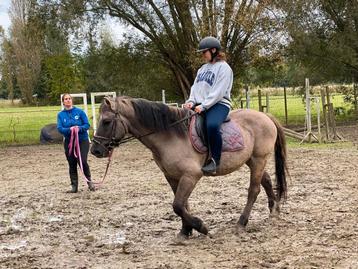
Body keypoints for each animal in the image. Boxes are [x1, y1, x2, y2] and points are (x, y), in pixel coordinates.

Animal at [90, 97, 288, 239]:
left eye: (106, 121)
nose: (95, 150)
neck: (169, 136)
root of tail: (265, 116)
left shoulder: (191, 175)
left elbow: (177, 205)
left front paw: (201, 227)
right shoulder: (172, 176)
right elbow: (182, 204)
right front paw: (186, 231)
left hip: (258, 159)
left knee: (253, 190)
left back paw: (241, 222)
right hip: (252, 160)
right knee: (266, 180)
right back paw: (274, 211)